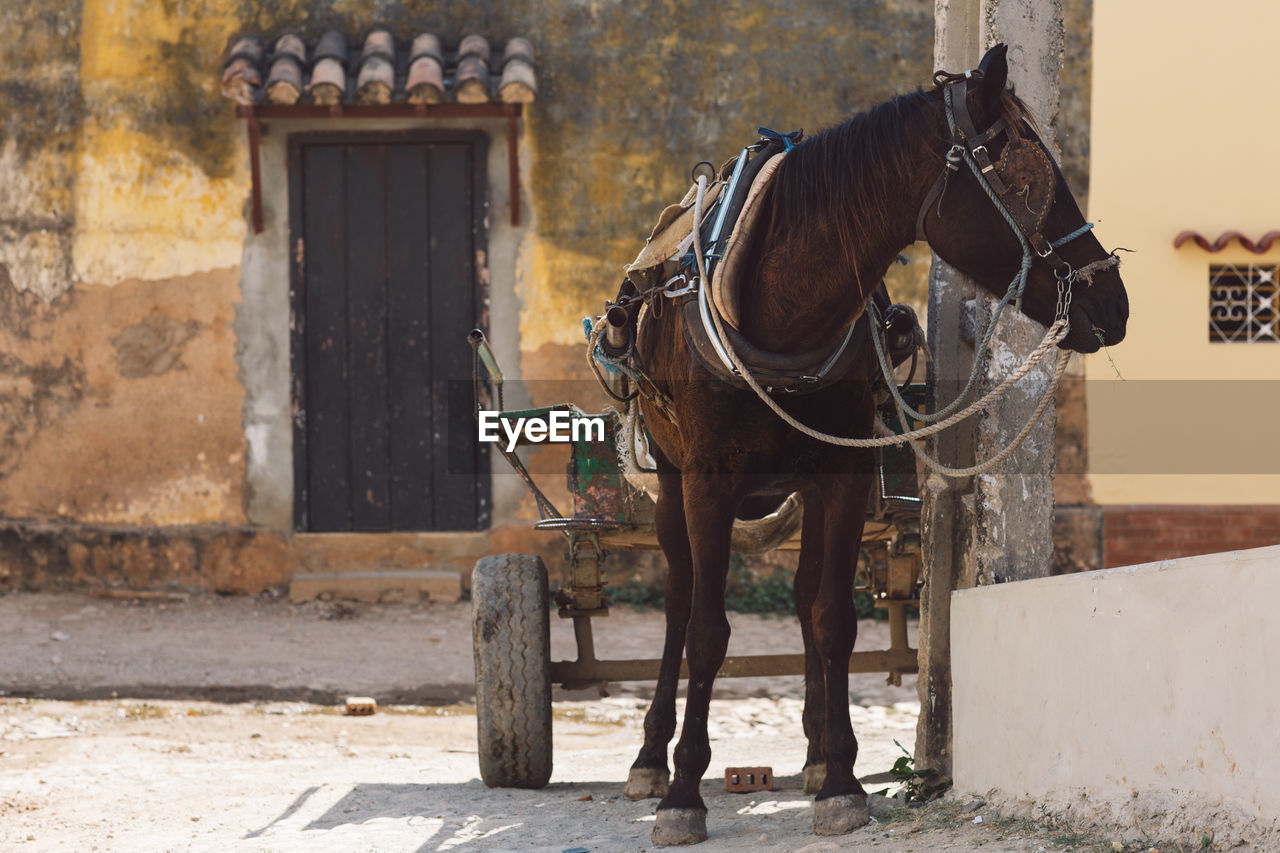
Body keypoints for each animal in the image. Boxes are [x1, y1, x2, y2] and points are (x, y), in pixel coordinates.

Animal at [619, 43, 1131, 840]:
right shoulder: (707, 481)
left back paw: (814, 752)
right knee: (677, 602)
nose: (1114, 300)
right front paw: (683, 794)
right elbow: (706, 629)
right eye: (1028, 174)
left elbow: (832, 618)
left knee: (802, 597)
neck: (778, 312)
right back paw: (650, 758)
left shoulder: (842, 473)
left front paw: (841, 781)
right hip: (671, 481)